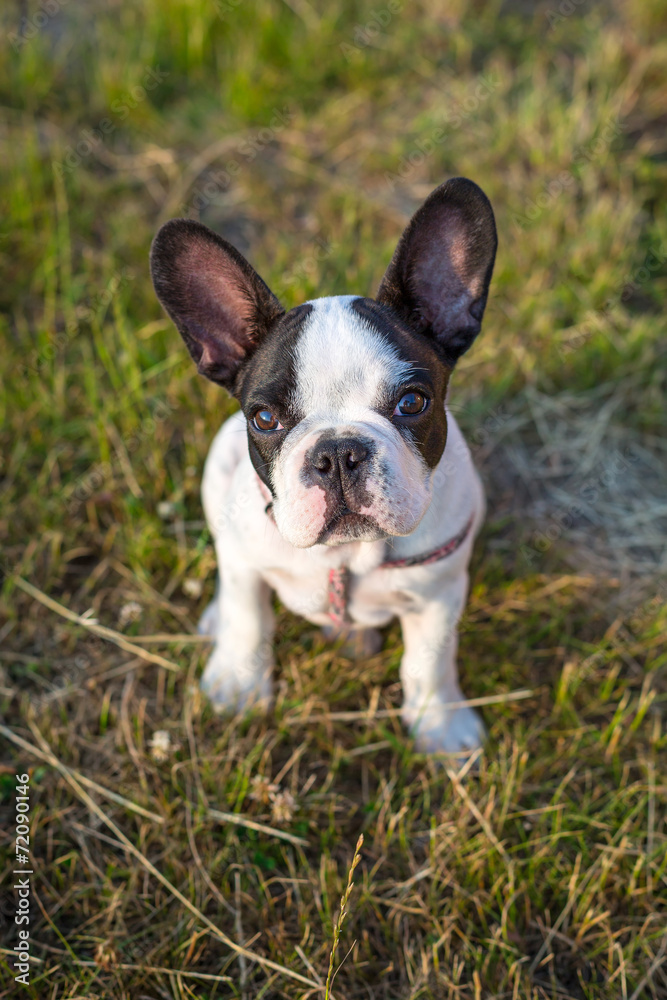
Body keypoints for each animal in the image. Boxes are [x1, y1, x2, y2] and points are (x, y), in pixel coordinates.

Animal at [150, 178, 496, 752]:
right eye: (264, 418)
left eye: (413, 402)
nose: (337, 454)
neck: (347, 555)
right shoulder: (246, 561)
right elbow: (248, 617)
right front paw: (238, 685)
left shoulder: (439, 593)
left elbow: (430, 660)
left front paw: (441, 726)